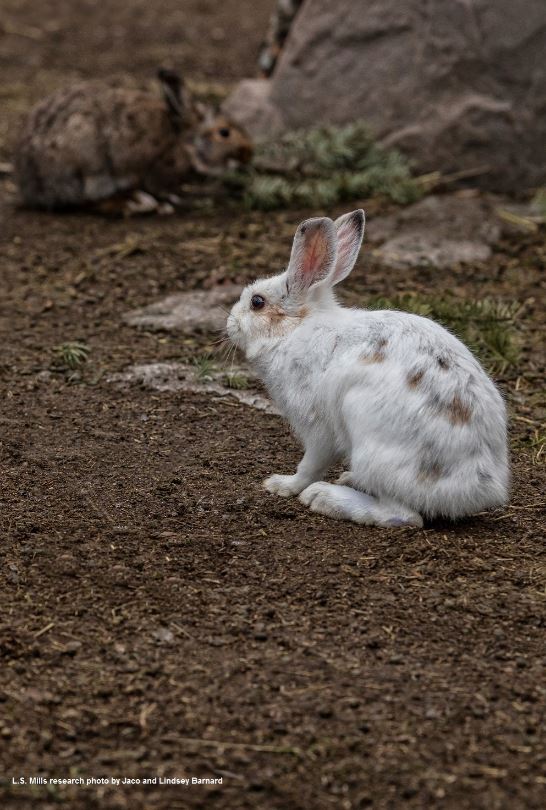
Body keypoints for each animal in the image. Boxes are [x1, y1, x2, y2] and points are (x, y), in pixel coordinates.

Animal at [14, 69, 253, 214]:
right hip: (89, 165)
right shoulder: (157, 170)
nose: (248, 154)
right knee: (87, 201)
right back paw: (135, 203)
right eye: (224, 132)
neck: (184, 141)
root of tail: (31, 184)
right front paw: (169, 203)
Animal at [227, 210, 509, 528]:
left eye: (257, 302)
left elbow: (310, 465)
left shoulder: (318, 429)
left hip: (368, 439)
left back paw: (325, 498)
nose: (230, 321)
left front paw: (281, 485)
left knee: (405, 516)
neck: (295, 329)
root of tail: (477, 490)